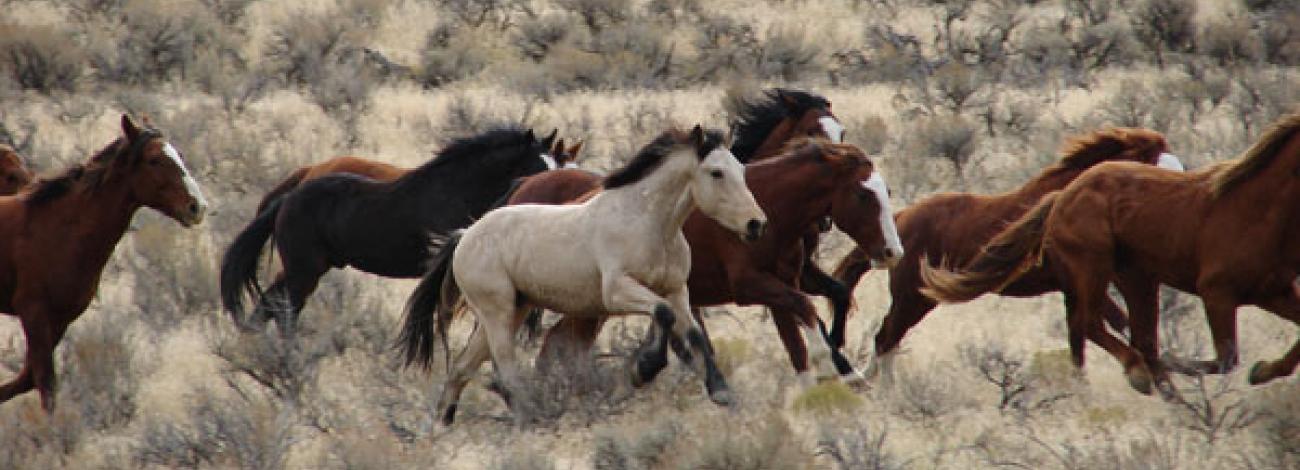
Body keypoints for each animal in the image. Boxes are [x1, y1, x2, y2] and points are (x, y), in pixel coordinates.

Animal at [0, 115, 206, 410]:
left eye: (179, 154)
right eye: (154, 159)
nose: (197, 206)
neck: (59, 227)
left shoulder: (60, 318)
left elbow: (27, 381)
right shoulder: (33, 311)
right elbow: (45, 386)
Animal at [220, 123, 556, 334]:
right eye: (539, 167)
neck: (455, 190)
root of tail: (287, 199)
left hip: (303, 269)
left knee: (269, 306)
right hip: (304, 271)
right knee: (285, 310)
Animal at [400, 125, 764, 425]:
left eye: (741, 170)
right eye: (716, 173)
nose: (756, 224)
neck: (648, 224)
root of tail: (465, 235)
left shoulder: (676, 291)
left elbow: (694, 336)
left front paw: (722, 393)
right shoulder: (617, 291)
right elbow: (662, 314)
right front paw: (642, 369)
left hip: (515, 308)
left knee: (462, 367)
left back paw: (442, 426)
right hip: (496, 311)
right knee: (504, 368)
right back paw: (531, 417)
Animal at [826, 127, 1185, 373]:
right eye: (1158, 173)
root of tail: (899, 221)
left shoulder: (1073, 288)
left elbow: (1085, 342)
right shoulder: (1078, 283)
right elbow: (1106, 328)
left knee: (887, 340)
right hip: (912, 299)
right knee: (885, 339)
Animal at [920, 112, 1300, 394]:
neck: (1256, 210)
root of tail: (1060, 199)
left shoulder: (1273, 292)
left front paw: (1263, 370)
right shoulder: (1216, 293)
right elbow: (1224, 359)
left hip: (1134, 278)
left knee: (1131, 336)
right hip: (1096, 267)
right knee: (1094, 325)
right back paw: (1139, 373)